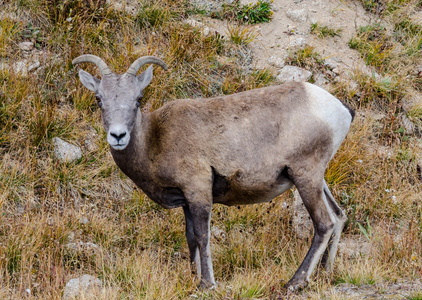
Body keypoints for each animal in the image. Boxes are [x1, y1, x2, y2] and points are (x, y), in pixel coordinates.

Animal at [72, 54, 352, 290]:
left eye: (138, 99)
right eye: (99, 99)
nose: (118, 135)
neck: (154, 141)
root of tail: (340, 109)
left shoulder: (198, 191)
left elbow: (202, 236)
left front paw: (207, 284)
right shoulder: (186, 200)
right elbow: (190, 238)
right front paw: (193, 277)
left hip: (306, 176)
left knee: (324, 223)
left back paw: (295, 282)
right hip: (315, 179)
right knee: (338, 216)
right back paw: (325, 274)